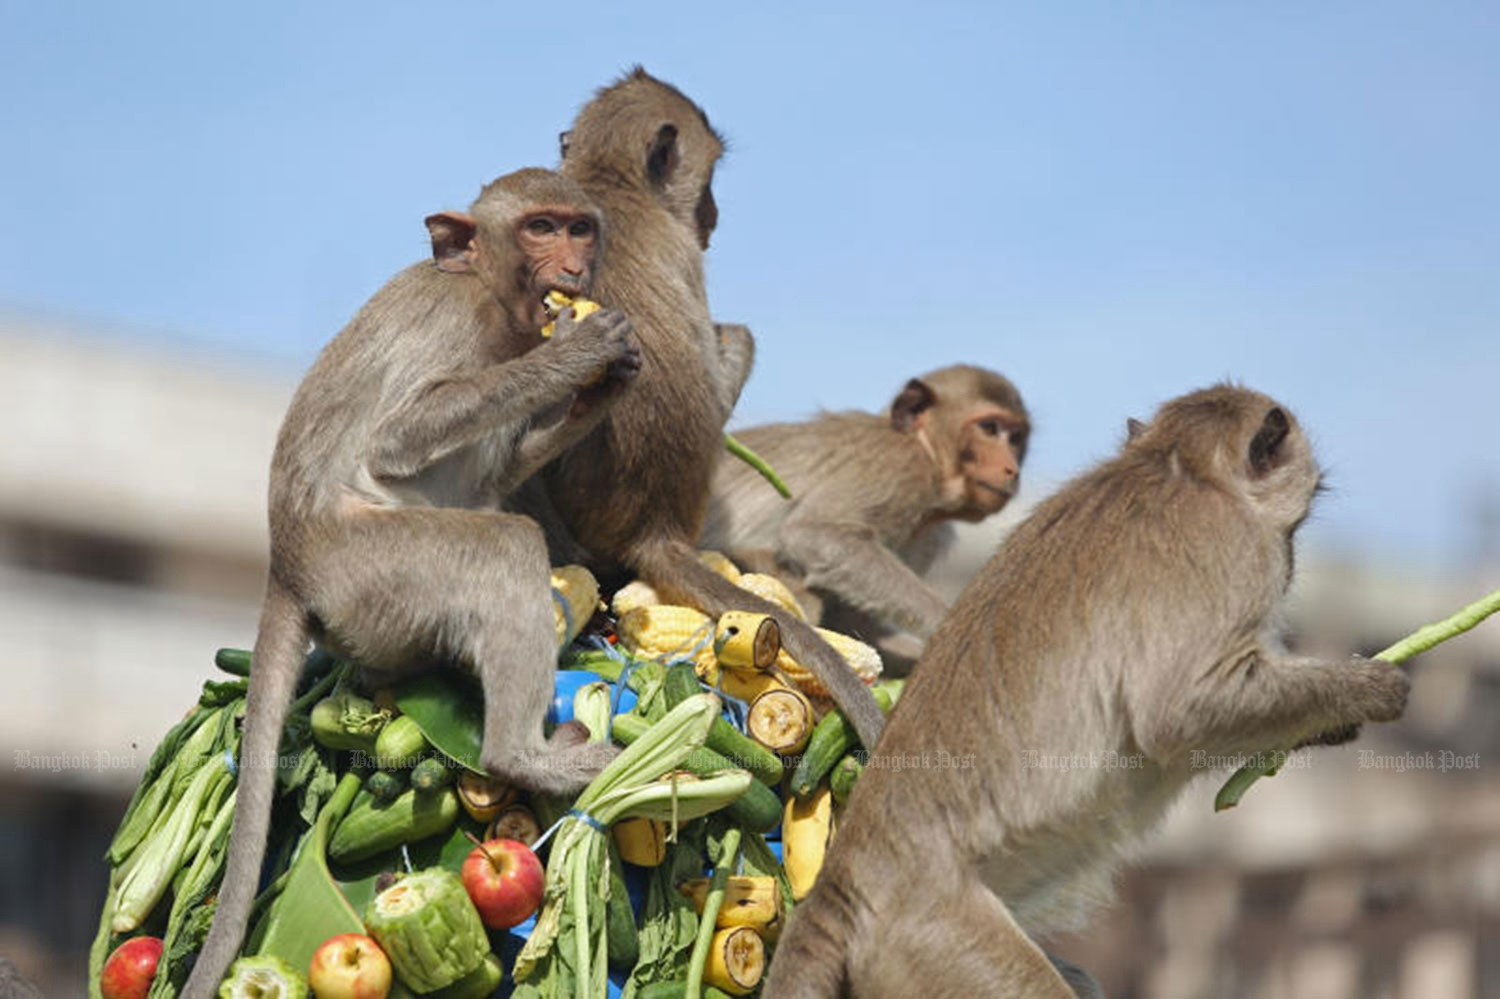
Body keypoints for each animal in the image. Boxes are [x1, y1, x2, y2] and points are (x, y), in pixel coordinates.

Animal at [702, 361, 1032, 657]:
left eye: (1016, 438)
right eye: (989, 428)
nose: (1012, 470)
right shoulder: (899, 466)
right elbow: (815, 533)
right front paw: (948, 624)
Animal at [768, 382, 1410, 996]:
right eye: (1294, 528)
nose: (1296, 560)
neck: (1180, 465)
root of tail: (848, 875)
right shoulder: (1234, 549)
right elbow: (1178, 712)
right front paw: (1368, 689)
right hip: (935, 936)